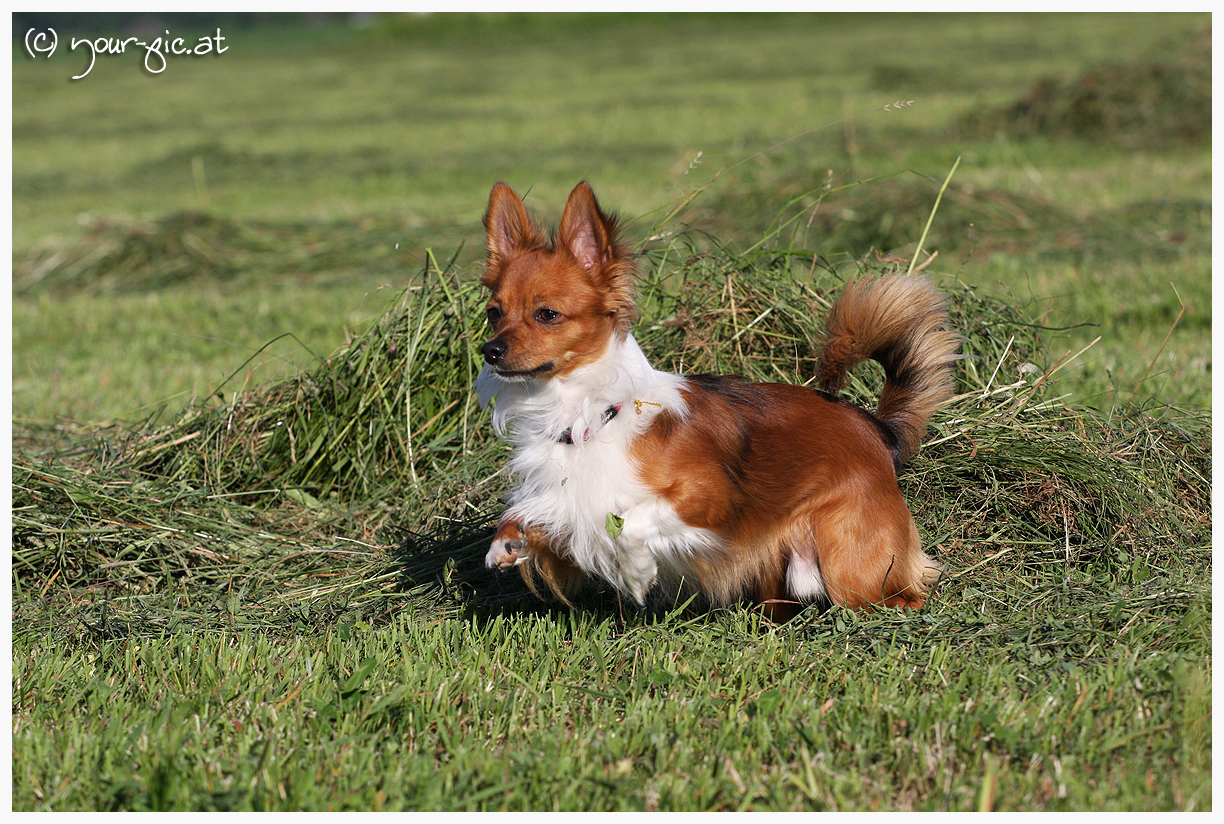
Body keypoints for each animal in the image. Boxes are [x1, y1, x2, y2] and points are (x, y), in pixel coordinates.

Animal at [472, 179, 959, 617]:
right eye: (494, 313)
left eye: (547, 314)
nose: (490, 351)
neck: (590, 412)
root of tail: (876, 427)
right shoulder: (569, 502)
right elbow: (534, 518)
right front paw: (508, 540)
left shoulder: (712, 496)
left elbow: (631, 523)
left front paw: (636, 572)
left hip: (850, 564)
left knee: (905, 598)